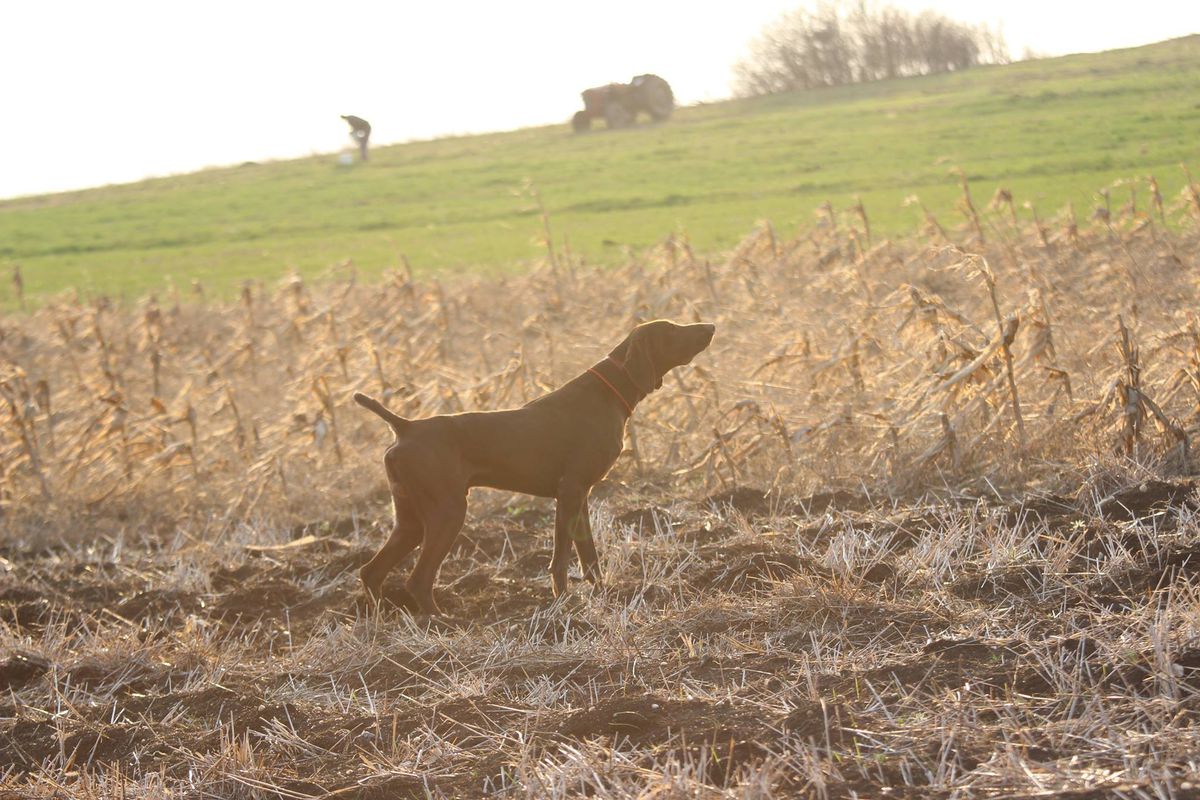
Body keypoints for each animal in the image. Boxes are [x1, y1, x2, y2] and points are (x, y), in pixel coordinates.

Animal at [352, 316, 710, 614]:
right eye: (672, 329)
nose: (710, 327)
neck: (606, 393)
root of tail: (406, 427)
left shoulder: (581, 496)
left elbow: (589, 555)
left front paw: (603, 595)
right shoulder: (570, 490)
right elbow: (560, 559)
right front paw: (564, 604)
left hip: (410, 520)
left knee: (370, 572)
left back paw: (380, 622)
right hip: (447, 512)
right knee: (417, 579)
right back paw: (440, 624)